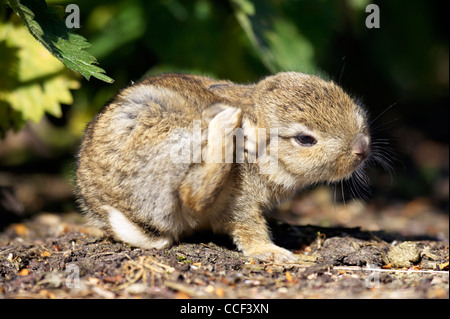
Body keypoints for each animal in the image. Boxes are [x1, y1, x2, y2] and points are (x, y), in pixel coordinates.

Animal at [76, 72, 370, 262]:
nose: (362, 148)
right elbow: (247, 225)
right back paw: (228, 122)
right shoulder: (239, 200)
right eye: (305, 139)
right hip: (167, 140)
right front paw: (272, 252)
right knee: (193, 194)